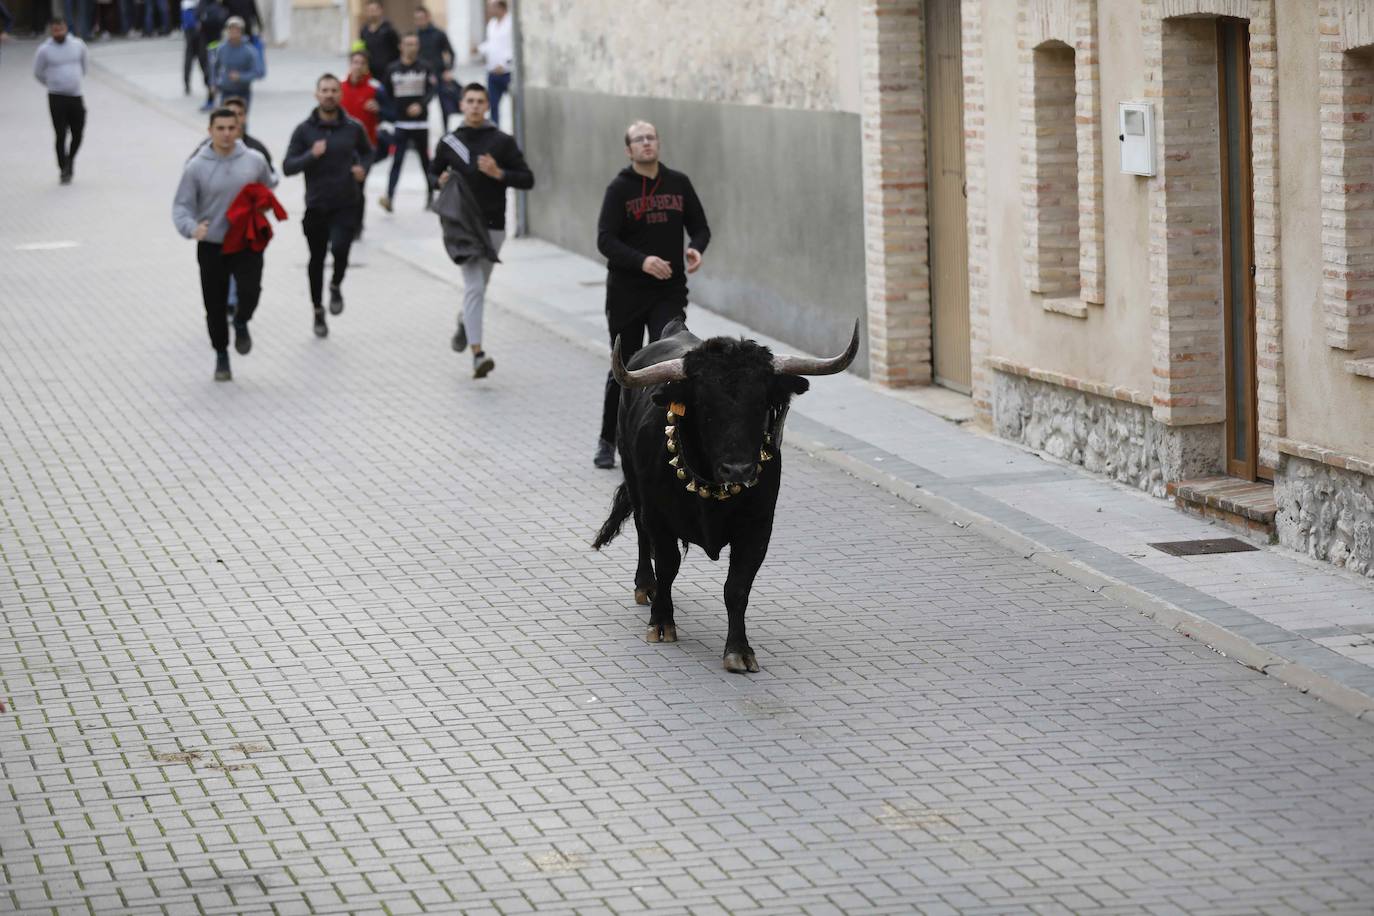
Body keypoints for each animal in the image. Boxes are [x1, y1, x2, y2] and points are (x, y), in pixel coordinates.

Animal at [593, 318, 857, 670]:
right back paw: (645, 586)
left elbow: (737, 587)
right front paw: (661, 623)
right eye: (704, 405)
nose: (738, 469)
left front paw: (739, 651)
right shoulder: (659, 518)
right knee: (640, 533)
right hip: (634, 483)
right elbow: (668, 566)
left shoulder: (757, 529)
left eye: (760, 403)